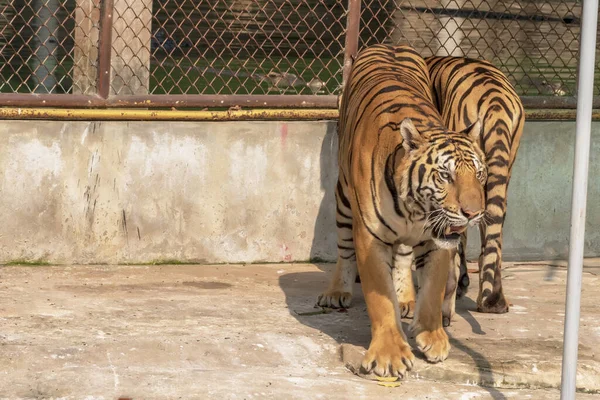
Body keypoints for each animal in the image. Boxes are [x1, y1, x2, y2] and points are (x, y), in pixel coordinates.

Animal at [314, 45, 488, 376]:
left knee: (405, 257)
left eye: (480, 174)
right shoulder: (370, 238)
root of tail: (388, 45)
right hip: (343, 198)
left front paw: (432, 337)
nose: (473, 214)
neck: (416, 211)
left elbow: (432, 291)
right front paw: (389, 355)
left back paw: (406, 298)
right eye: (445, 175)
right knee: (344, 250)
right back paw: (336, 292)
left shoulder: (436, 241)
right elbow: (380, 299)